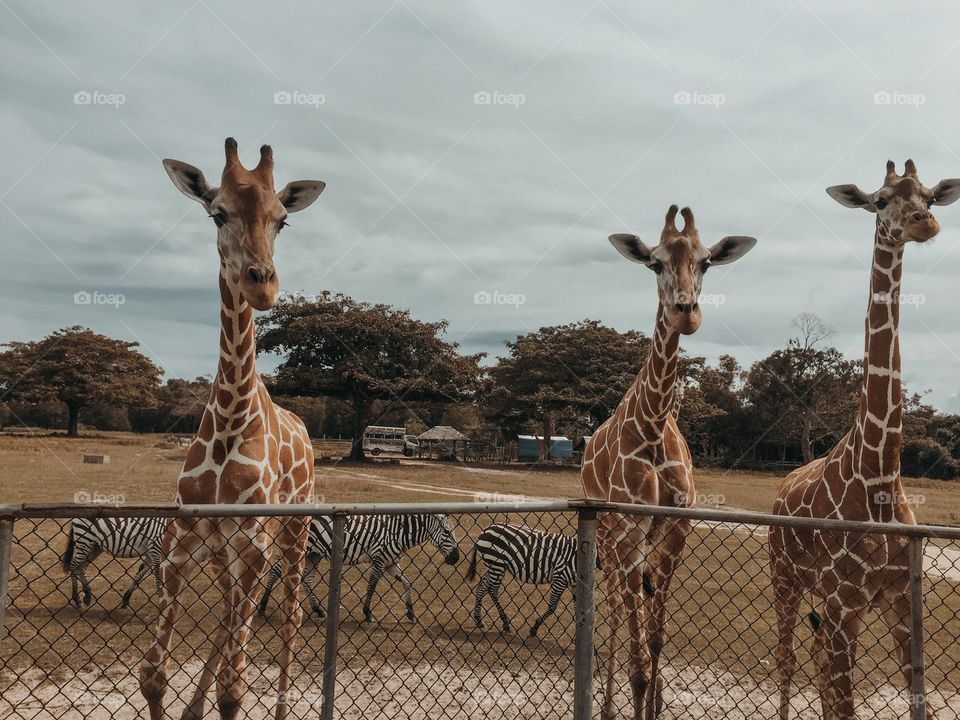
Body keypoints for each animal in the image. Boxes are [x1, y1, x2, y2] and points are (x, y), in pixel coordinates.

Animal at [139, 139, 326, 720]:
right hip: (228, 553)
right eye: (216, 213)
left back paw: (283, 705)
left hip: (291, 533)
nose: (262, 285)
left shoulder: (253, 546)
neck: (228, 421)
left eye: (282, 220)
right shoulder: (182, 545)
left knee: (289, 614)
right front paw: (185, 702)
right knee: (227, 612)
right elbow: (153, 674)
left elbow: (234, 688)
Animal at [258, 512, 462, 624]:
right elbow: (371, 585)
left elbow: (407, 583)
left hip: (313, 554)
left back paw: (319, 610)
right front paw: (367, 613)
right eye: (446, 532)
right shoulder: (379, 559)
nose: (456, 558)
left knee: (307, 579)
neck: (399, 532)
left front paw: (410, 612)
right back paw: (262, 606)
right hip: (301, 550)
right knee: (275, 571)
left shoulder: (391, 563)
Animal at [464, 524, 592, 636]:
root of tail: (484, 531)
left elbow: (579, 609)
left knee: (481, 587)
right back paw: (505, 623)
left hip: (493, 566)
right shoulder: (560, 577)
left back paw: (479, 620)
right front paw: (535, 628)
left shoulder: (575, 584)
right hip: (496, 563)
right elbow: (552, 607)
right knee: (492, 590)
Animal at [580, 205, 752, 716]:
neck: (655, 424)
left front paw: (657, 706)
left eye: (707, 262)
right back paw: (607, 705)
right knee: (614, 609)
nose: (686, 313)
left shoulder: (675, 532)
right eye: (654, 263)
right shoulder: (631, 531)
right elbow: (638, 658)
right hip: (611, 536)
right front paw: (635, 700)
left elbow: (656, 641)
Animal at [768, 159, 960, 720]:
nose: (923, 223)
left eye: (930, 197)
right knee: (789, 659)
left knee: (815, 663)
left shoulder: (899, 601)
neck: (879, 472)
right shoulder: (844, 601)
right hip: (785, 580)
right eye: (879, 200)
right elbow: (844, 700)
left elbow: (917, 701)